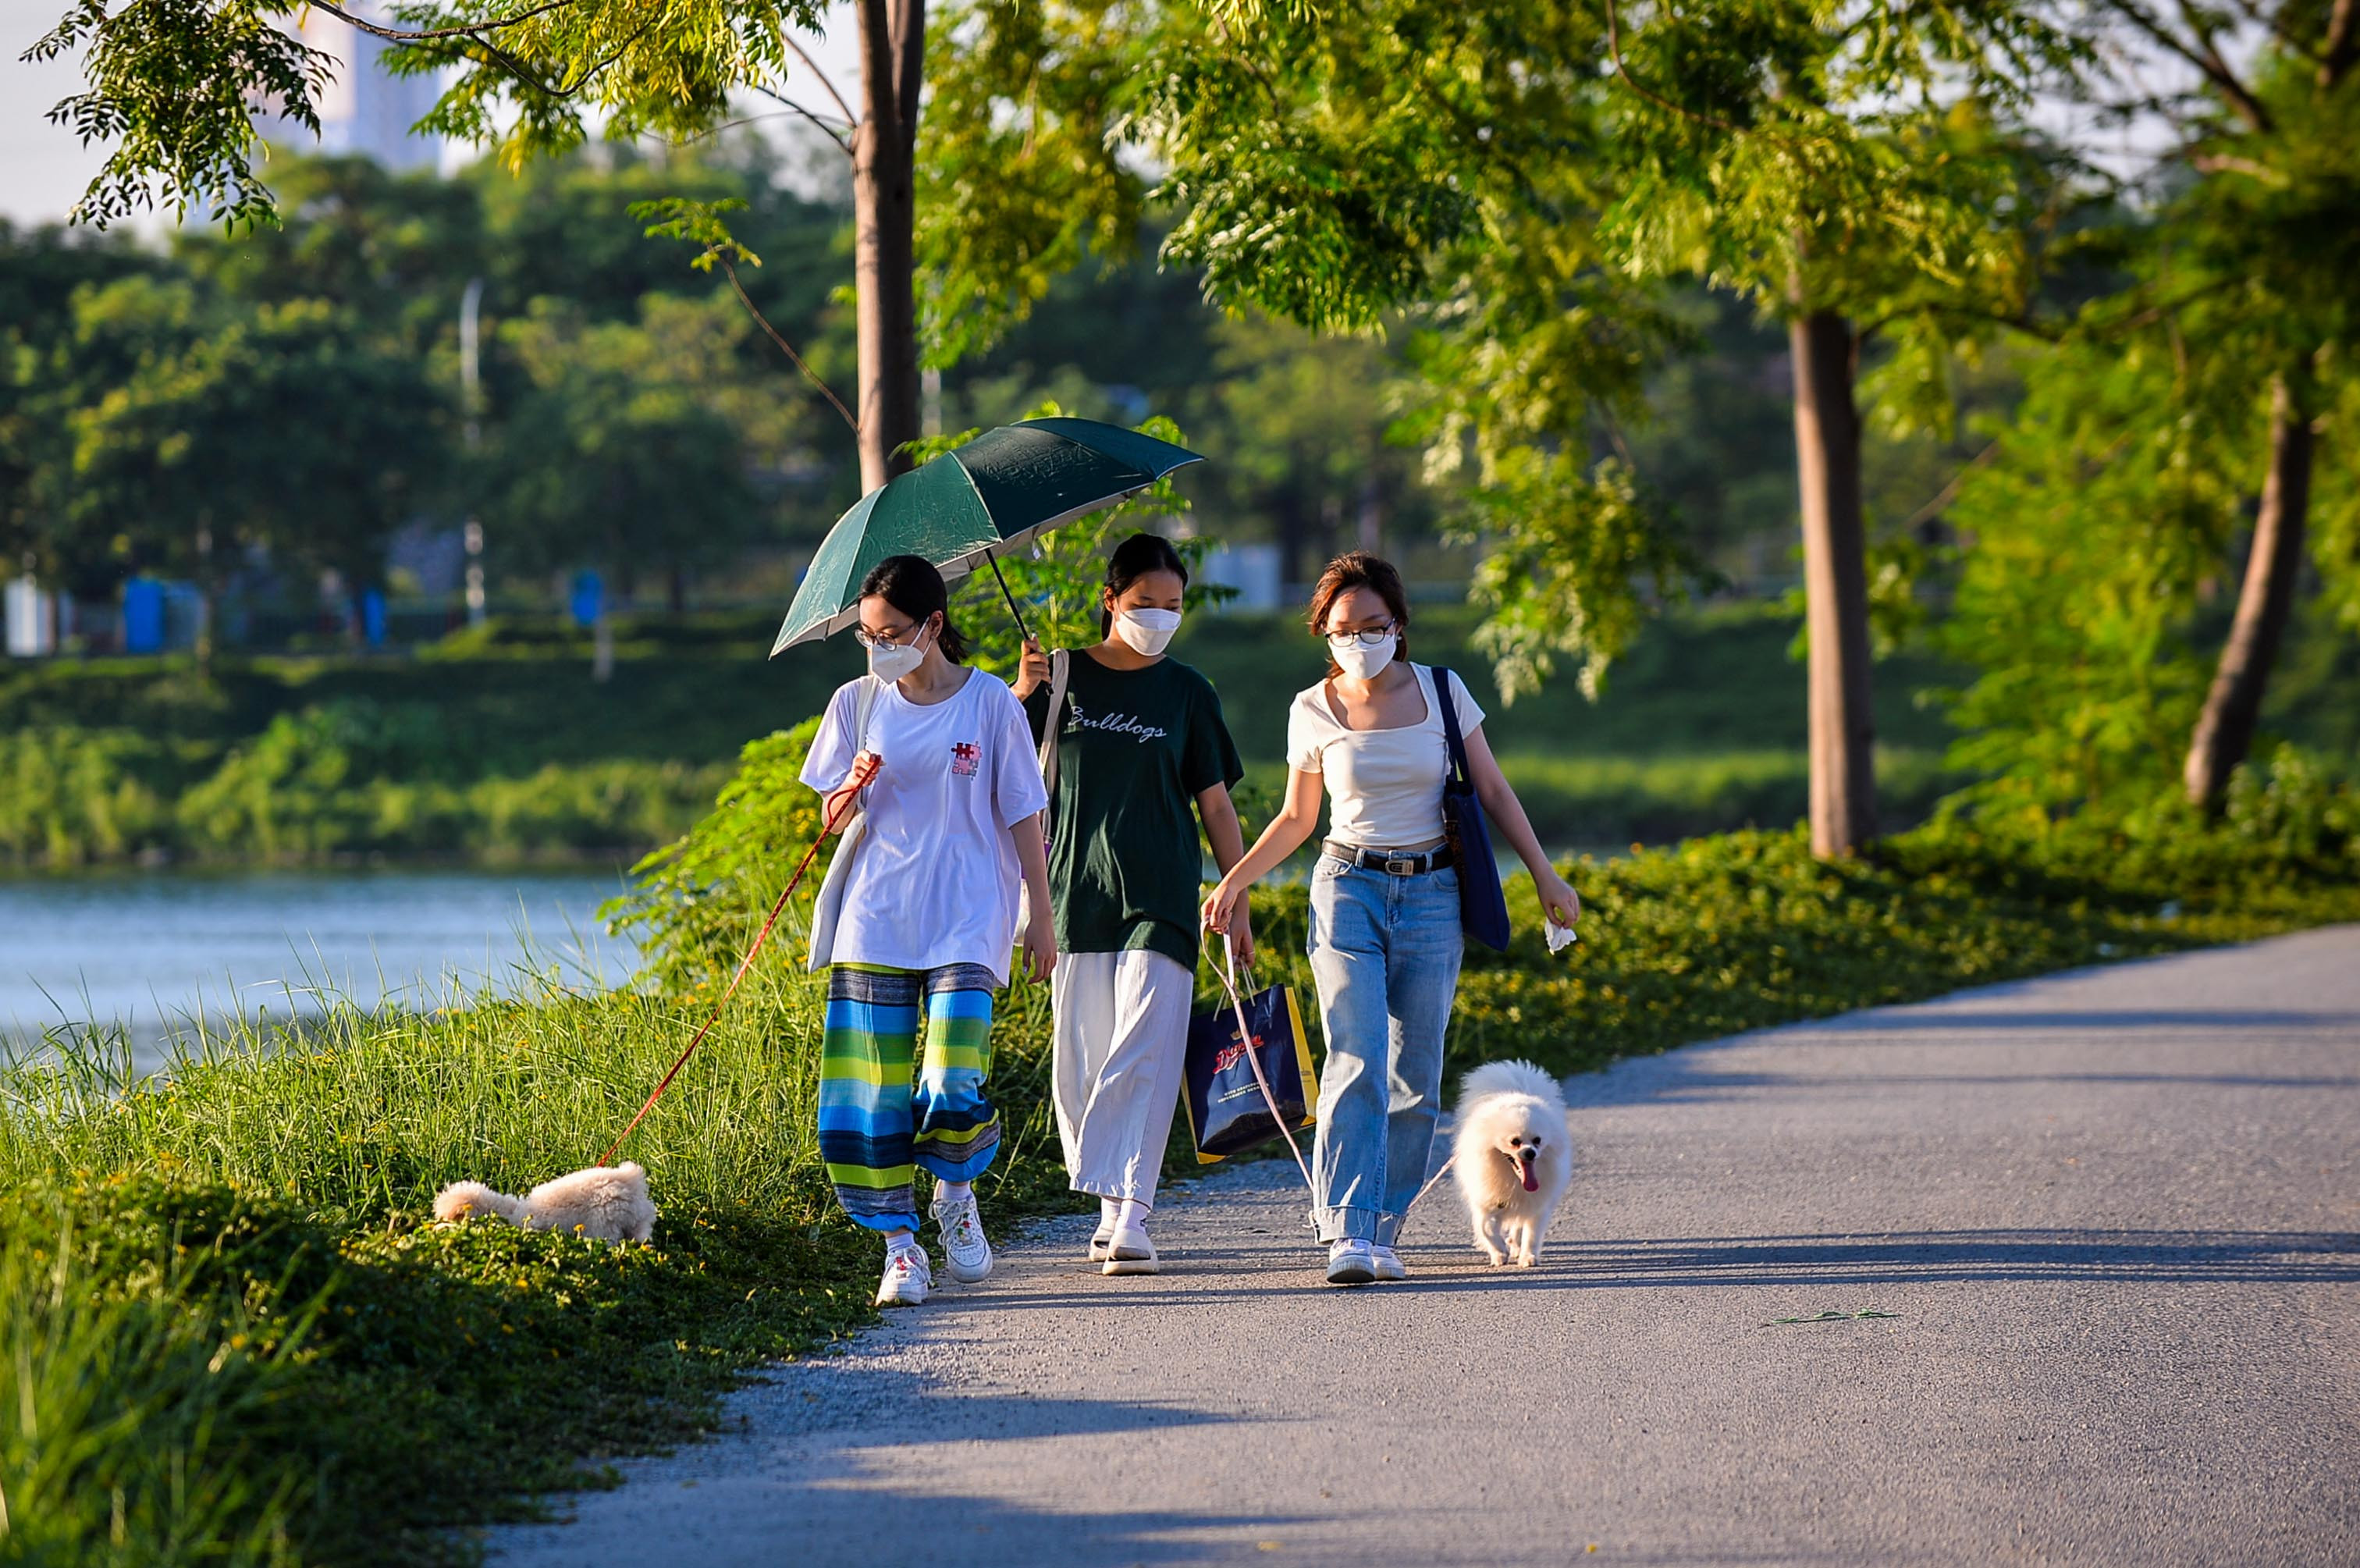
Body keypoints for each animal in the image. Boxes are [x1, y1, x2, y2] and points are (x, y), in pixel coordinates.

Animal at [1444, 1058, 1576, 1265]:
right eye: (1515, 1141)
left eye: (1537, 1140)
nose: (1530, 1153)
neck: (1513, 1180)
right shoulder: (1486, 1202)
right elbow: (1487, 1229)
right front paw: (1499, 1253)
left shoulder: (1536, 1206)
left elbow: (1531, 1234)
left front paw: (1528, 1257)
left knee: (1519, 1227)